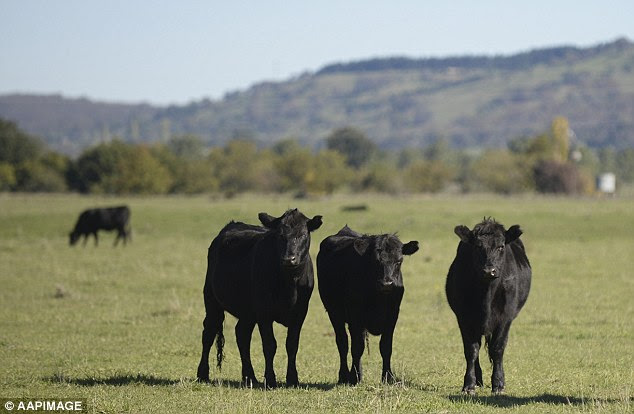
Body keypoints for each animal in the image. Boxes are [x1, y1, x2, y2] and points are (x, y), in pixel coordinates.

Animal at [195, 210, 320, 388]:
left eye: (302, 234)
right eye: (280, 235)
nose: (289, 259)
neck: (289, 283)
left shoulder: (300, 312)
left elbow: (292, 344)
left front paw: (292, 379)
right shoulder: (263, 312)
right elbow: (269, 345)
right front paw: (270, 379)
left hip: (247, 313)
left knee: (242, 334)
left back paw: (249, 377)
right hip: (212, 300)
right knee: (209, 332)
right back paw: (203, 374)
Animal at [316, 226, 420, 384]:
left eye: (399, 261)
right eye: (375, 261)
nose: (387, 283)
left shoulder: (392, 315)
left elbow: (386, 346)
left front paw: (387, 377)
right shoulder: (355, 316)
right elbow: (357, 347)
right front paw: (354, 377)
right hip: (334, 312)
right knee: (343, 343)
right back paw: (344, 375)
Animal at [442, 217, 532, 394]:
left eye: (501, 246)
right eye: (478, 246)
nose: (489, 271)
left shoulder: (505, 319)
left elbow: (497, 349)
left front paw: (498, 384)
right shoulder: (464, 318)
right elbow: (471, 350)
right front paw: (469, 385)